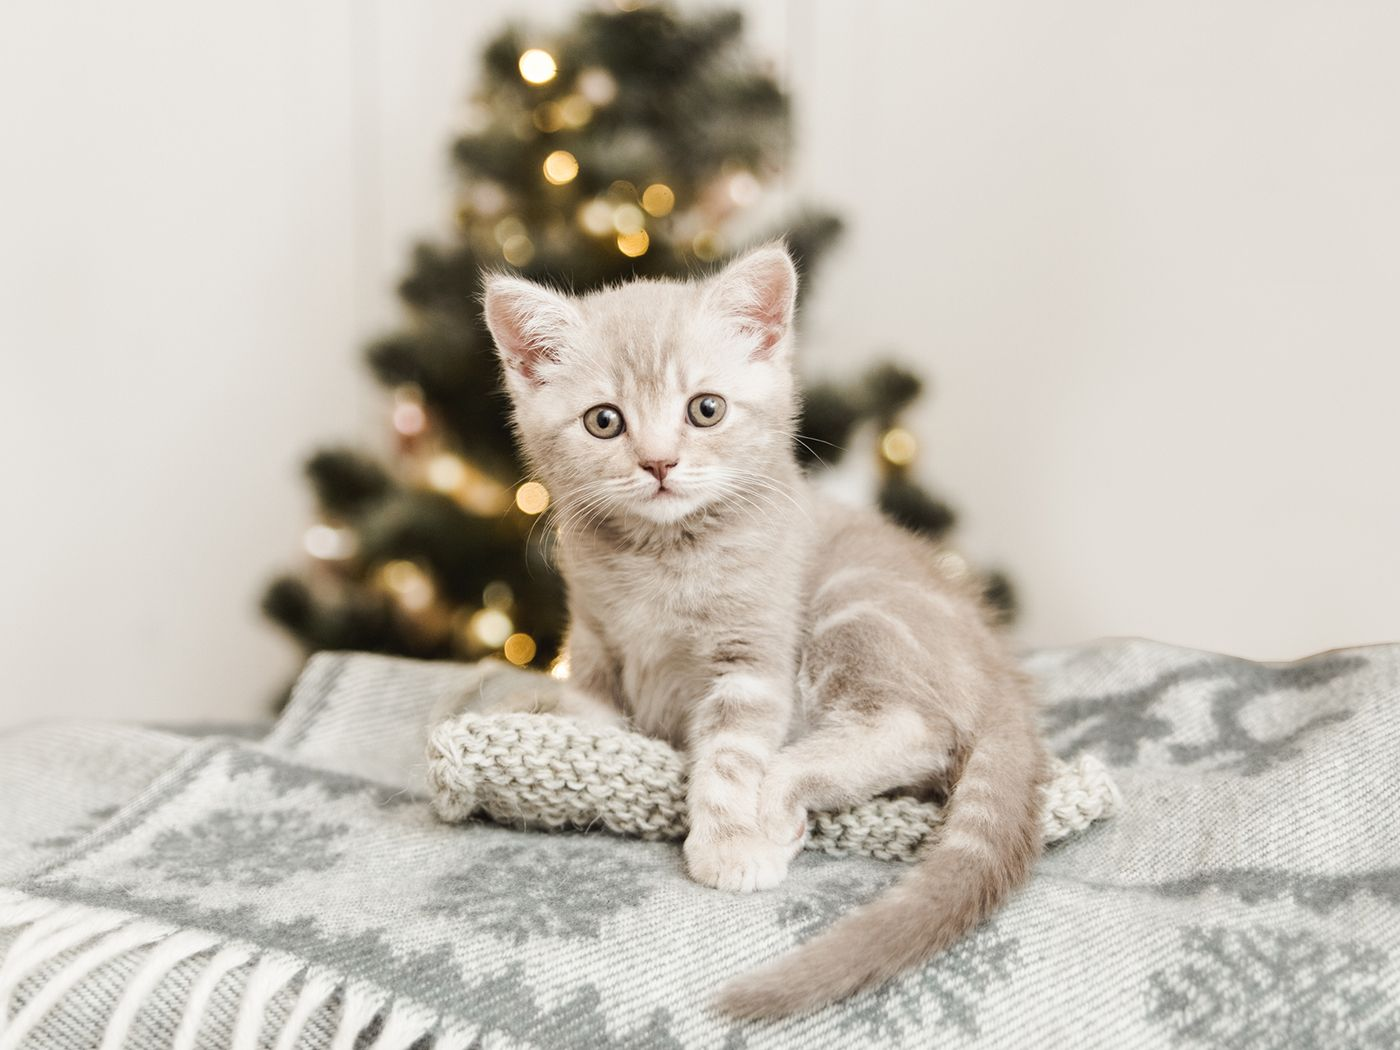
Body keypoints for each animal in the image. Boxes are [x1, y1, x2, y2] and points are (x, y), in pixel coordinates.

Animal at [487, 246, 1047, 1019]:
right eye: (604, 421)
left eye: (706, 409)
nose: (658, 463)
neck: (659, 559)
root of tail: (1002, 673)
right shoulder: (594, 643)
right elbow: (591, 714)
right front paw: (550, 731)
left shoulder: (752, 657)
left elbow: (728, 755)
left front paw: (728, 843)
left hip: (853, 603)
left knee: (918, 731)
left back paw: (781, 794)